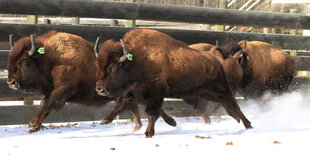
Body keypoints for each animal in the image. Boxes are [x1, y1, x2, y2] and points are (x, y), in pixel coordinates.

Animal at [7, 30, 176, 133]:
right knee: (134, 106)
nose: (10, 82)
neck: (52, 58)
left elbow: (47, 105)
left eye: (25, 62)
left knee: (131, 105)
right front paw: (33, 127)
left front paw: (32, 124)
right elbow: (44, 106)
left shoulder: (62, 89)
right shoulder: (49, 92)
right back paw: (141, 126)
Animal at [95, 28, 252, 137]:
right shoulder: (137, 93)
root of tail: (214, 57)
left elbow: (151, 112)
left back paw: (248, 125)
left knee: (233, 104)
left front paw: (149, 133)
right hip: (207, 93)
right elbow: (122, 105)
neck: (136, 60)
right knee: (225, 105)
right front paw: (104, 120)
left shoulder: (154, 94)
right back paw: (238, 120)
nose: (100, 89)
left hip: (220, 90)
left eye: (113, 68)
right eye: (98, 65)